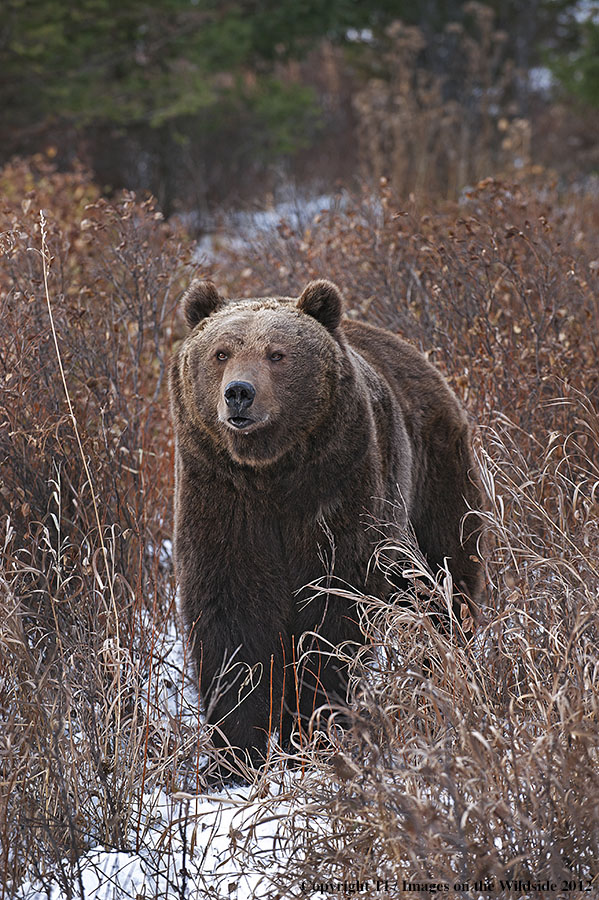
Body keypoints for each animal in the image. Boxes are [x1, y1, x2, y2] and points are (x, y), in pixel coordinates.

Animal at [169, 280, 482, 772]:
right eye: (221, 352)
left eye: (277, 354)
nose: (239, 392)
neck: (270, 474)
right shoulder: (221, 501)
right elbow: (232, 623)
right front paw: (234, 757)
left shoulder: (336, 491)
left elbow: (333, 613)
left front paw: (314, 727)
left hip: (432, 481)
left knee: (445, 585)